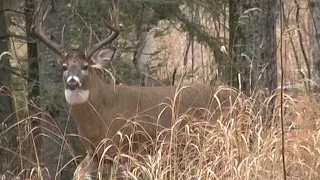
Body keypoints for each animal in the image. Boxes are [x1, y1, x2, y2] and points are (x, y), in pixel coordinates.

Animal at [31, 1, 238, 180]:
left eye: (85, 66)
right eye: (64, 67)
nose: (72, 83)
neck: (100, 116)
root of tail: (239, 95)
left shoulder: (128, 148)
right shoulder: (95, 153)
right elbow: (78, 173)